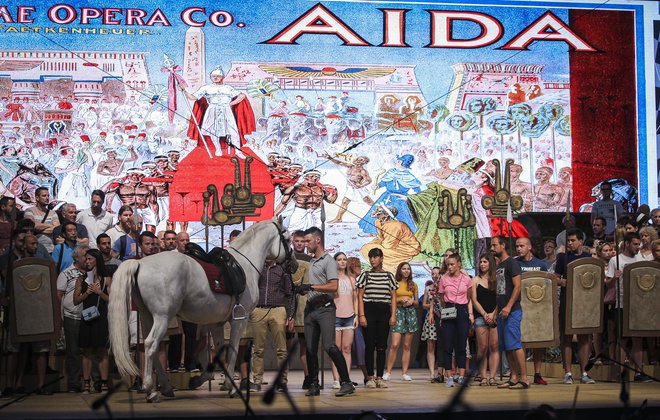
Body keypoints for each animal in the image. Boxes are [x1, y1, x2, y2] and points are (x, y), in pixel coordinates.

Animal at [108, 218, 296, 402]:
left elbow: (220, 352)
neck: (244, 265)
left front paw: (200, 380)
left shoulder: (216, 323)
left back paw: (166, 387)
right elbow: (233, 349)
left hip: (147, 317)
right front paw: (231, 388)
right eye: (287, 239)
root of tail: (140, 263)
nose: (293, 264)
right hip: (162, 317)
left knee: (153, 350)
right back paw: (150, 390)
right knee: (150, 344)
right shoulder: (239, 320)